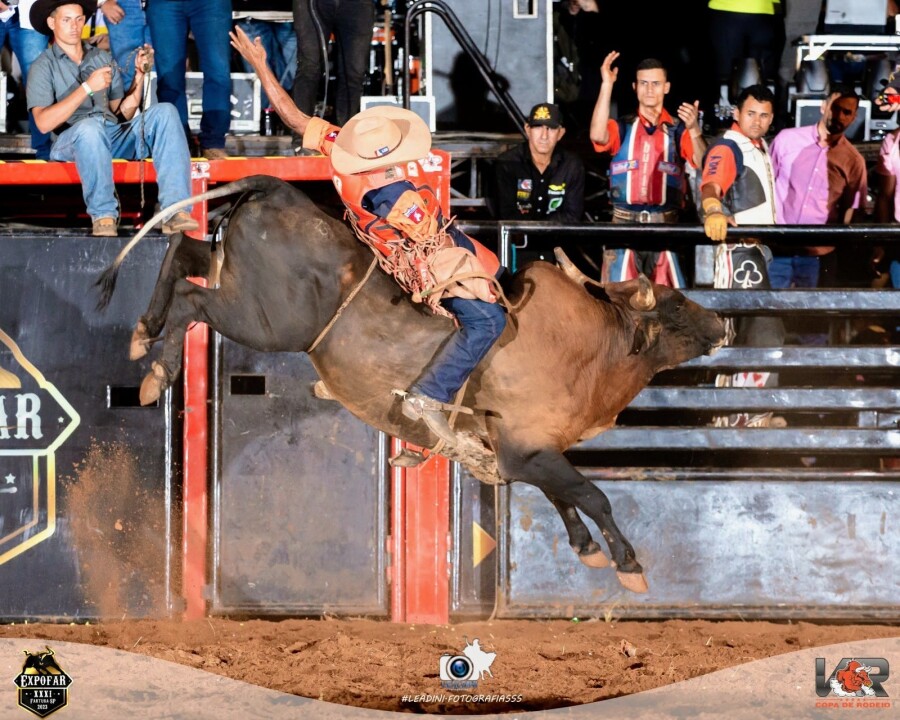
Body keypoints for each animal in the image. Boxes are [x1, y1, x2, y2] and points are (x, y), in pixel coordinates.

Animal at [98, 174, 728, 592]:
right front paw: (629, 564)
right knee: (193, 299)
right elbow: (592, 495)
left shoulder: (522, 452)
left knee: (182, 252)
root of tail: (276, 188)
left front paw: (589, 552)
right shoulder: (528, 448)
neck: (589, 347)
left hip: (233, 275)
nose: (721, 323)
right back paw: (156, 371)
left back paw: (142, 334)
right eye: (673, 304)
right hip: (267, 317)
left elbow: (564, 497)